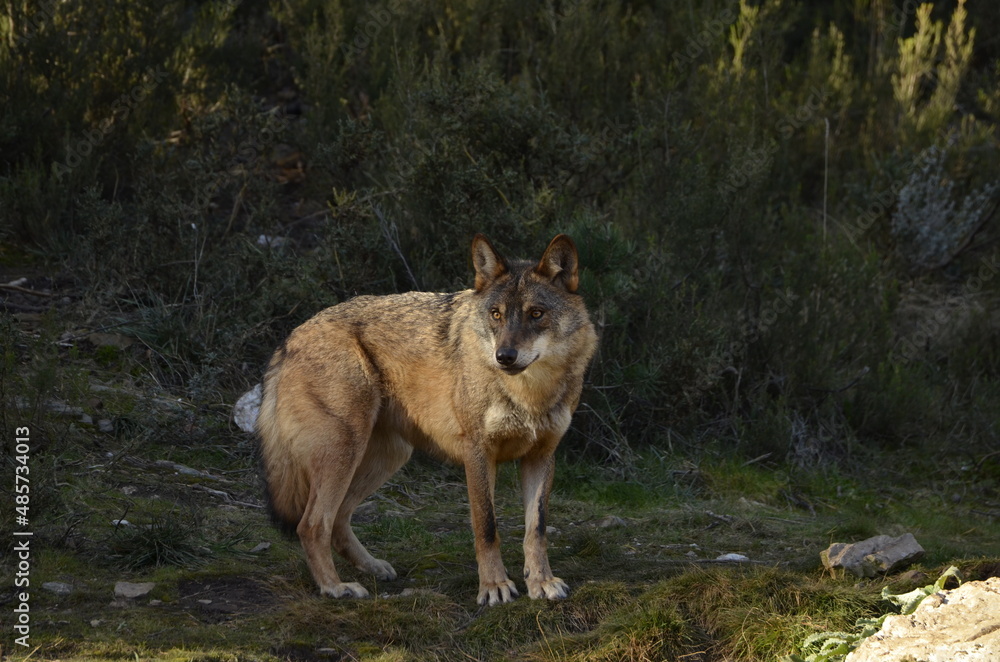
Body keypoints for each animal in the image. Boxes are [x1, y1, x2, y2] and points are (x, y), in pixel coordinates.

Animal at [256, 234, 598, 606]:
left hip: (384, 457)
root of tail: (290, 339)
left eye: (536, 314)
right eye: (496, 314)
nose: (504, 357)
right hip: (344, 453)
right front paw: (494, 587)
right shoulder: (477, 453)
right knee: (312, 524)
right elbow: (486, 527)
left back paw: (372, 567)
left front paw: (541, 582)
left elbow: (536, 530)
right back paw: (336, 587)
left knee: (338, 520)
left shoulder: (541, 456)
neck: (529, 393)